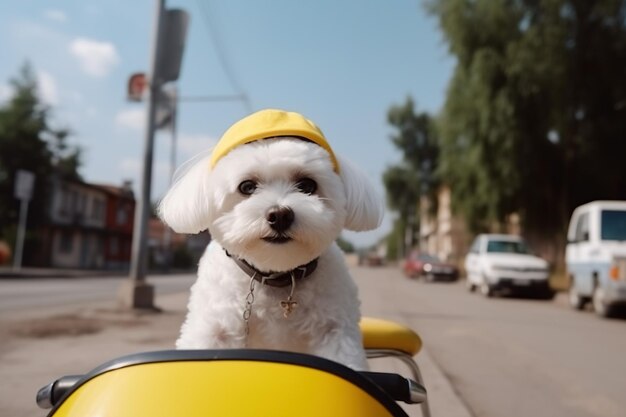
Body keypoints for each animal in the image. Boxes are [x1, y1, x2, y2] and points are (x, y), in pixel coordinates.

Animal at [157, 109, 380, 368]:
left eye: (307, 185)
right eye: (247, 186)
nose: (280, 215)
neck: (276, 276)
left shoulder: (335, 330)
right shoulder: (214, 327)